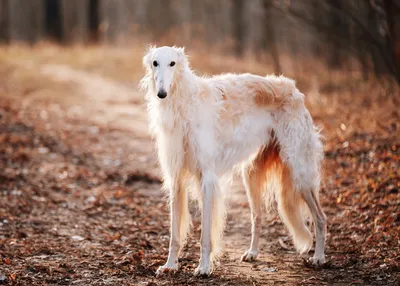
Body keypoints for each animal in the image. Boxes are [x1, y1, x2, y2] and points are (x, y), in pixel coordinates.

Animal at [140, 45, 324, 276]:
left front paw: (204, 267)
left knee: (321, 217)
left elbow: (205, 235)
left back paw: (319, 257)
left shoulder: (207, 179)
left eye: (172, 63)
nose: (161, 93)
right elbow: (175, 234)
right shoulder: (176, 179)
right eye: (155, 63)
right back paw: (253, 252)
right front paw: (170, 265)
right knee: (257, 217)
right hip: (252, 175)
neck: (183, 104)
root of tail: (294, 90)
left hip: (299, 172)